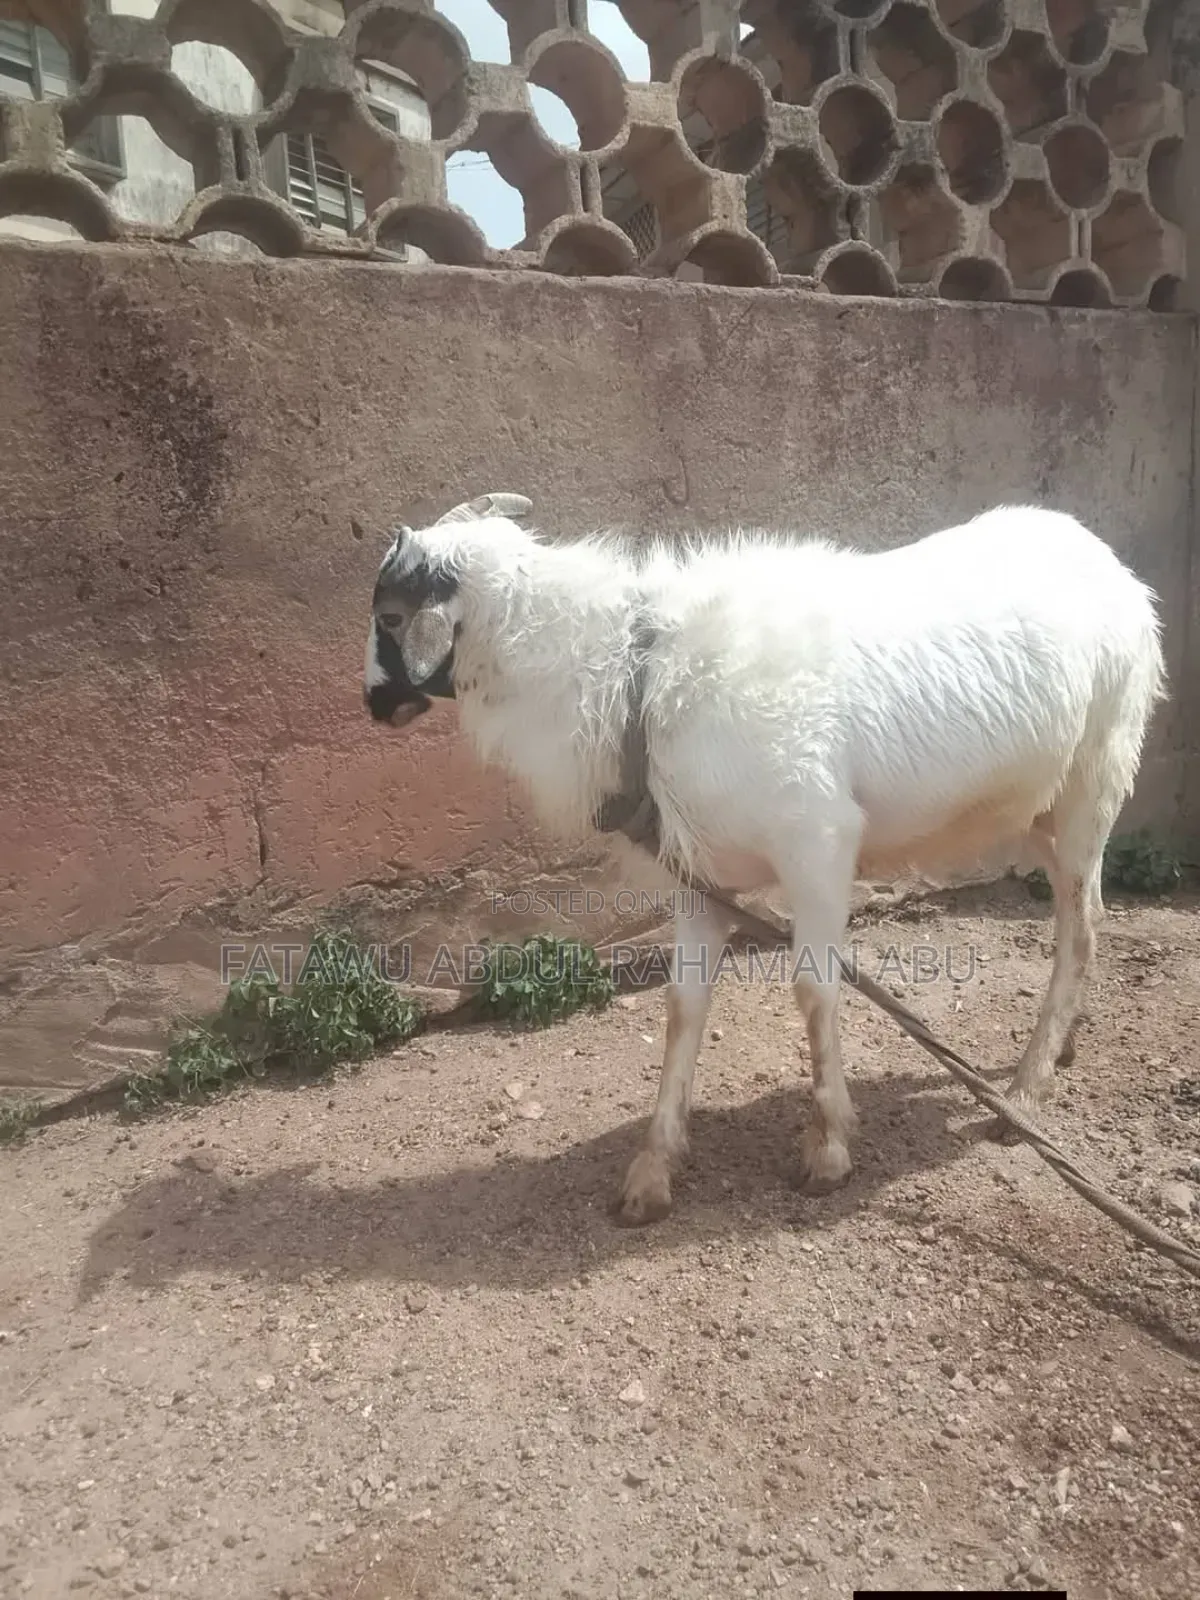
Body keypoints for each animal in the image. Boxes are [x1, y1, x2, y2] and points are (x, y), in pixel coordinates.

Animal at [364, 492, 1167, 1226]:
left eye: (391, 617)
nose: (372, 704)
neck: (634, 677)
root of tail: (1107, 560)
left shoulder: (818, 843)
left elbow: (814, 992)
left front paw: (829, 1149)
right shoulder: (697, 877)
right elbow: (683, 1007)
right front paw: (652, 1170)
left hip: (1097, 773)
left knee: (1080, 926)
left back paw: (1025, 1090)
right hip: (1031, 809)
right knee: (1080, 912)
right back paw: (1061, 1048)